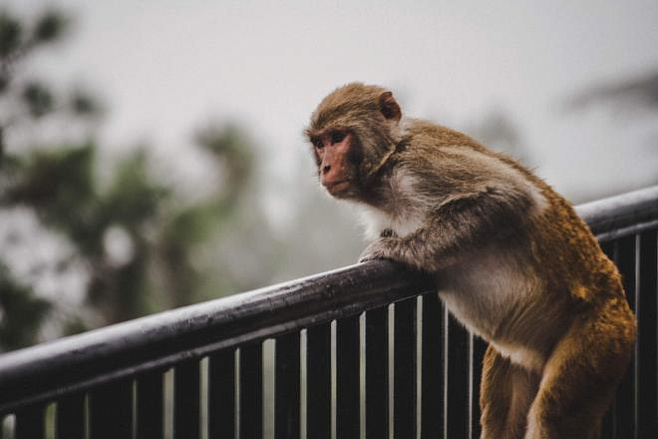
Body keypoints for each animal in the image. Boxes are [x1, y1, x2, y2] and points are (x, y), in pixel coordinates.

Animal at [304, 83, 636, 439]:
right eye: (320, 144)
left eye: (338, 137)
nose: (325, 168)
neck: (387, 165)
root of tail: (620, 303)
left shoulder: (419, 166)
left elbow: (510, 195)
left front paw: (396, 250)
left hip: (599, 340)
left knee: (552, 415)